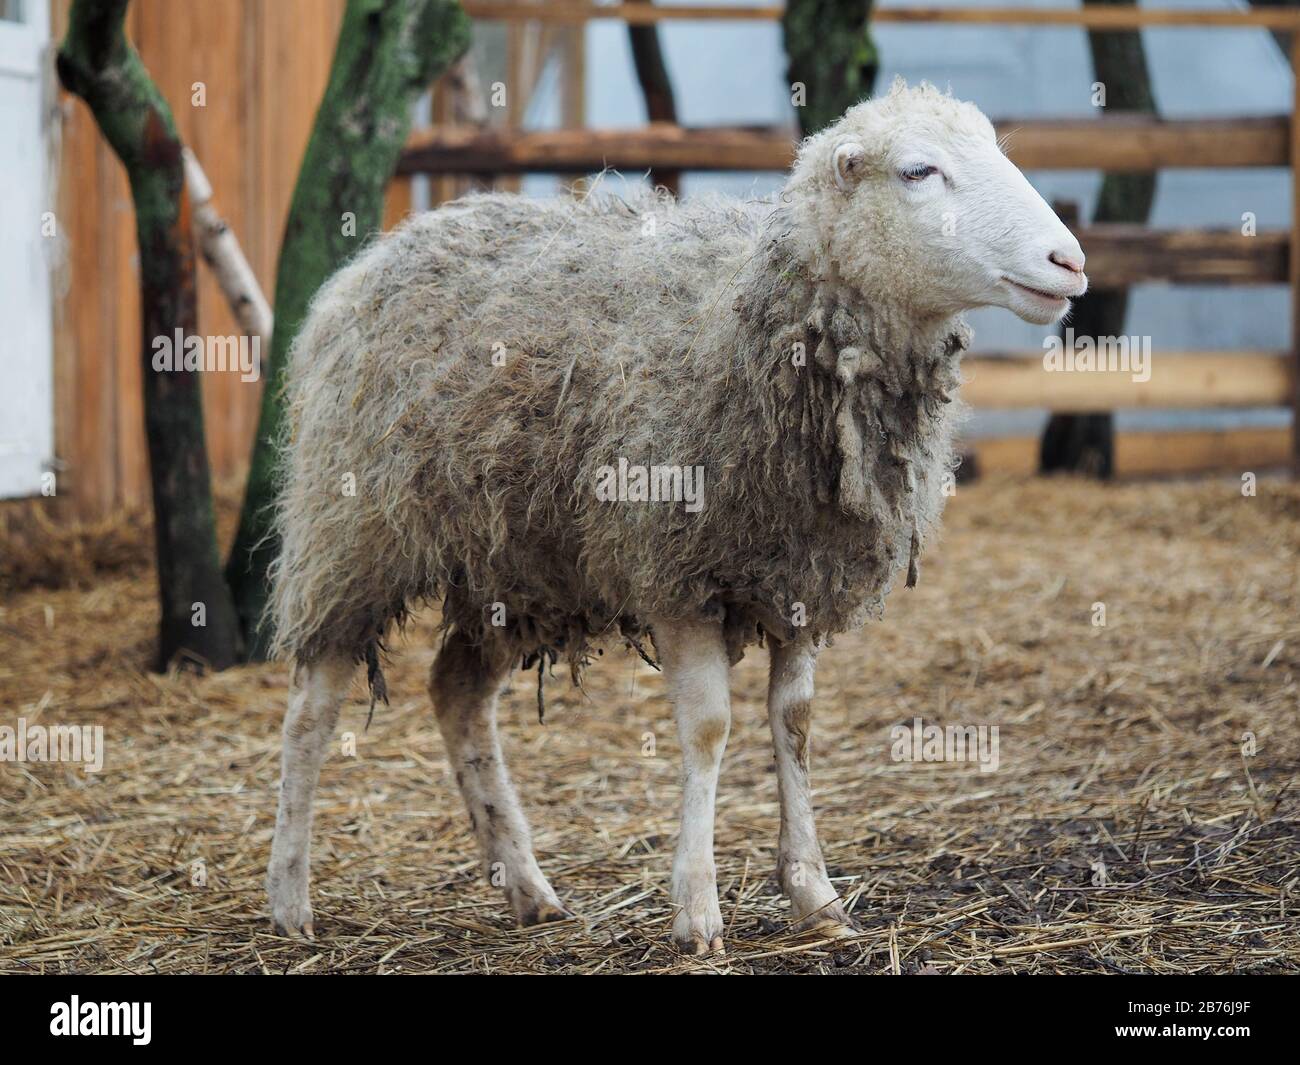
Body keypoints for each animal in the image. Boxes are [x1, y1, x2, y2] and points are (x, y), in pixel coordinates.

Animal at [263, 81, 1086, 951]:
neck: (752, 323)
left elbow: (794, 722)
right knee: (311, 708)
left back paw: (526, 886)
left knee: (457, 694)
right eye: (919, 171)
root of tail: (381, 251)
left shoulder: (803, 574)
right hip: (352, 532)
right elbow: (709, 728)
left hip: (507, 561)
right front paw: (696, 908)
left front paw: (814, 892)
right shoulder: (677, 571)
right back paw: (289, 898)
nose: (1069, 262)